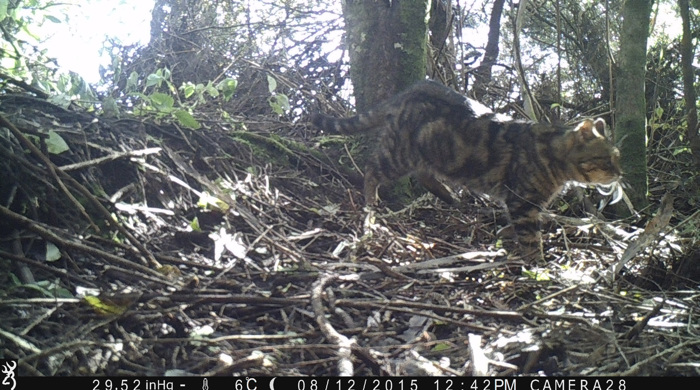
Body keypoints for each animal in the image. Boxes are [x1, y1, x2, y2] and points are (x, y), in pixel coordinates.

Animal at [312, 80, 616, 254]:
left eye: (618, 157)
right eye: (607, 159)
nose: (621, 173)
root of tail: (412, 89)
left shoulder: (525, 203)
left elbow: (515, 224)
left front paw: (505, 233)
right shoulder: (522, 201)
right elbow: (530, 238)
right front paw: (536, 265)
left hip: (428, 152)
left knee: (424, 175)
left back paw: (449, 196)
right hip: (399, 152)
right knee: (372, 168)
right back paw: (370, 199)